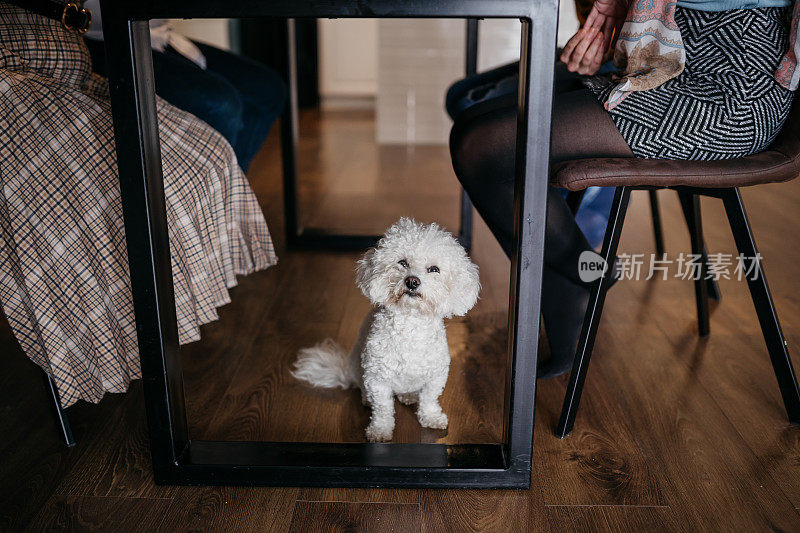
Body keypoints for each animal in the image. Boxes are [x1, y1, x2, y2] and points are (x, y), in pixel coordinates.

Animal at [294, 217, 482, 440]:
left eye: (434, 269)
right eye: (402, 263)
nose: (412, 281)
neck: (410, 326)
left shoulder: (435, 377)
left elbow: (429, 400)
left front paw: (432, 418)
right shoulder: (377, 379)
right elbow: (383, 408)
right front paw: (380, 430)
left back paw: (409, 396)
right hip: (359, 369)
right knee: (363, 389)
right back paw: (366, 399)